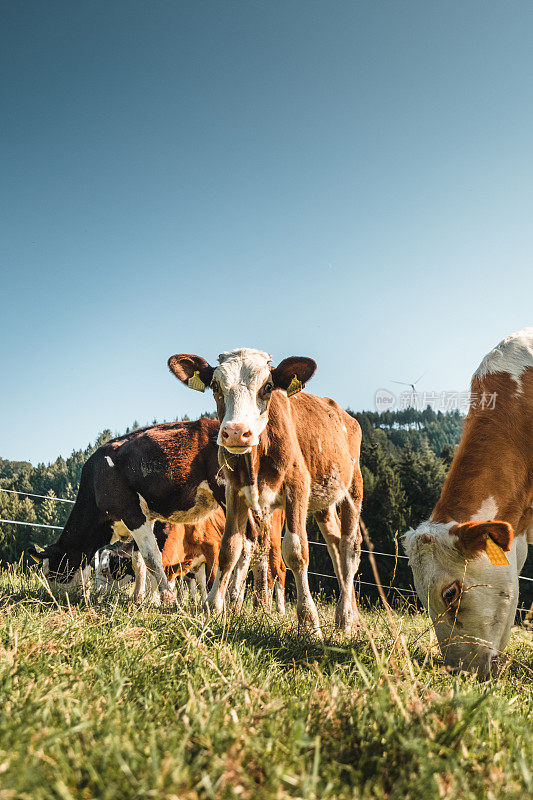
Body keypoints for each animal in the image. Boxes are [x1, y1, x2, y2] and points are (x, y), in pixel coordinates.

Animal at [27, 418, 224, 600]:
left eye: (54, 572)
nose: (53, 598)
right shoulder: (145, 519)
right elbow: (139, 562)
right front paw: (139, 598)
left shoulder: (132, 514)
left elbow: (152, 558)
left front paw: (167, 599)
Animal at [168, 346, 364, 636]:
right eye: (215, 385)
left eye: (268, 386)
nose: (236, 432)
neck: (255, 461)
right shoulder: (234, 491)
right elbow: (229, 548)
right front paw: (213, 607)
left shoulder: (297, 487)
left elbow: (296, 551)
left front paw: (308, 622)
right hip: (324, 501)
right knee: (335, 544)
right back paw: (349, 615)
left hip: (353, 485)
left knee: (350, 548)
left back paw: (347, 619)